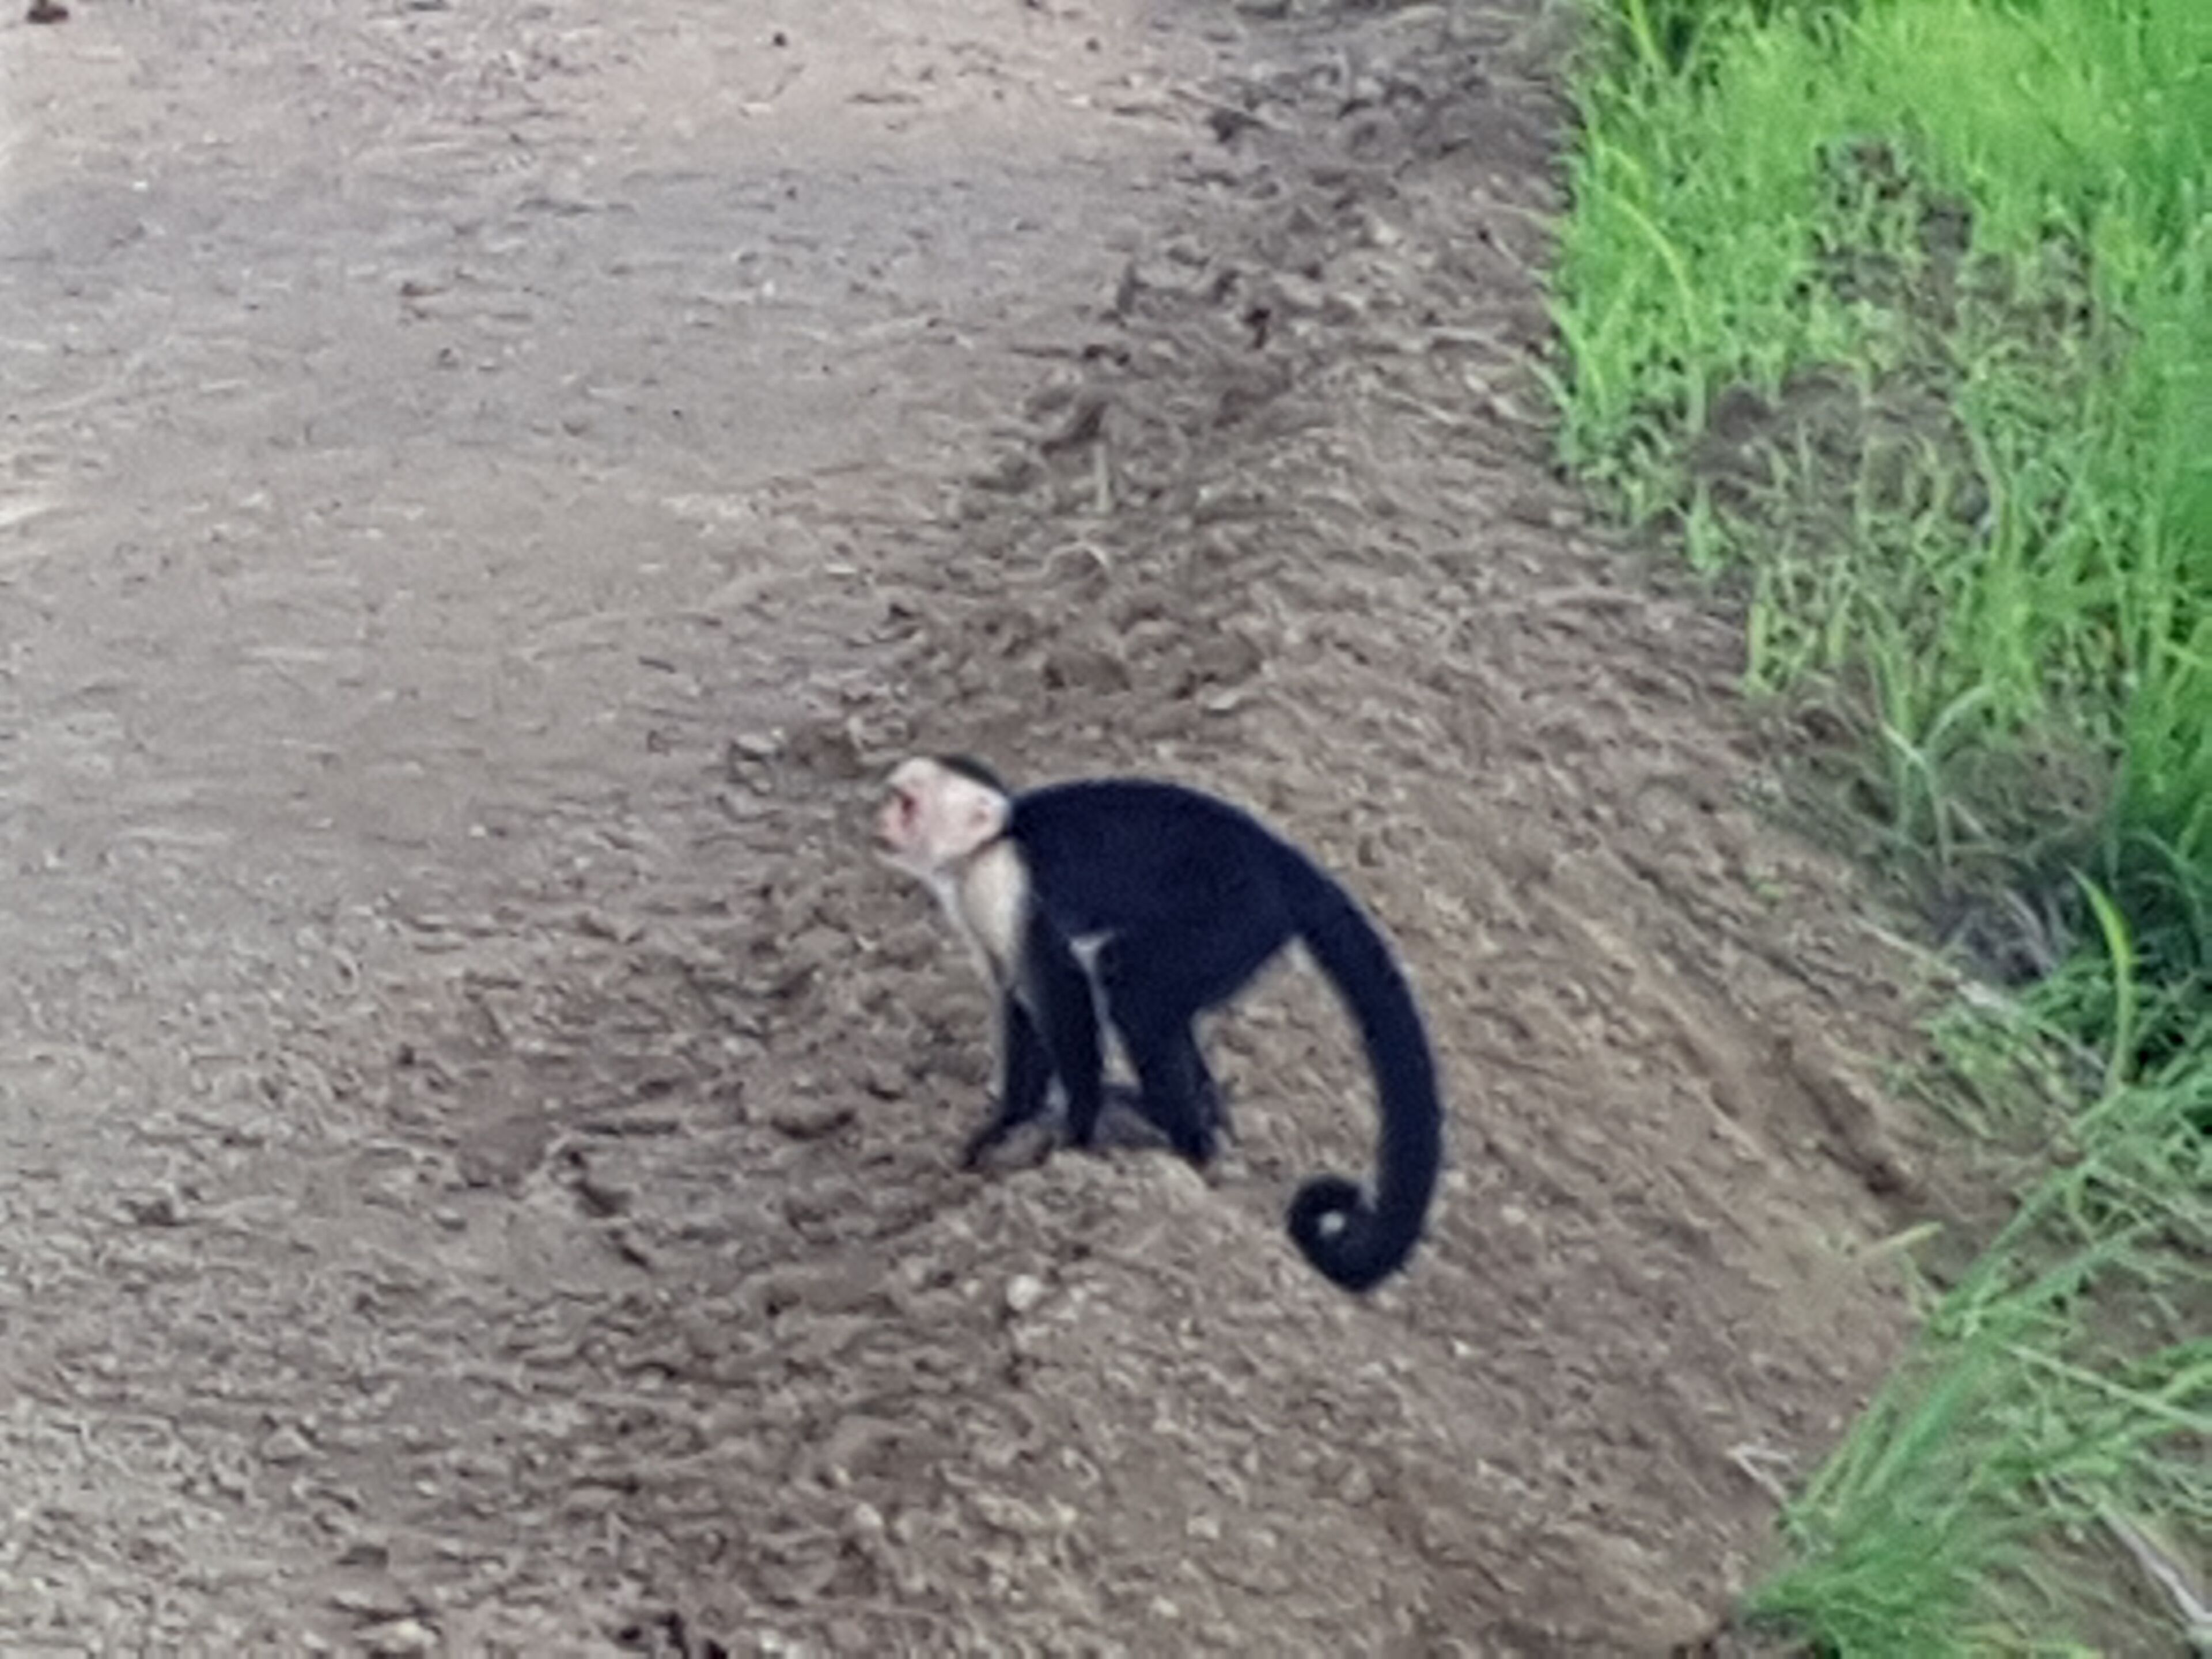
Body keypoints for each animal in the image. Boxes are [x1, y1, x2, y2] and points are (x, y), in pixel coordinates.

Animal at [874, 754, 1443, 1293]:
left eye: (906, 803)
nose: (879, 821)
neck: (993, 843)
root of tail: (1276, 854)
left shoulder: (1004, 884)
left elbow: (1060, 989)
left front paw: (1075, 1136)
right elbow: (1018, 1002)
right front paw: (1008, 1123)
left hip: (1237, 911)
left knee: (1134, 989)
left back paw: (1187, 1146)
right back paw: (1198, 1120)